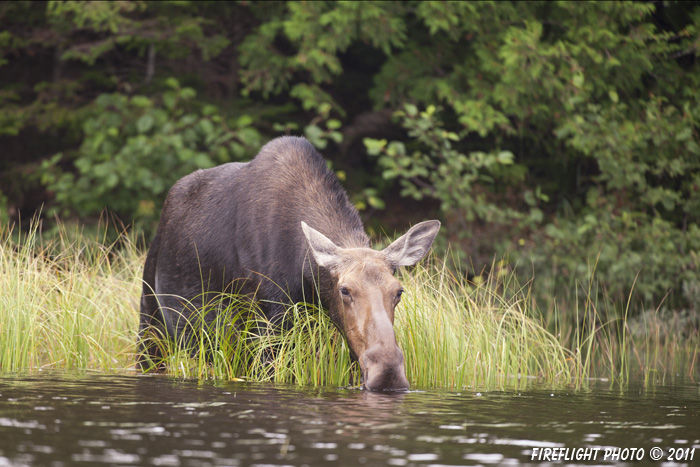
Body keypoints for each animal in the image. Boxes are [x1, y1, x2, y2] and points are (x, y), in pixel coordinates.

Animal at [139, 136, 440, 392]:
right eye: (344, 290)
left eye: (398, 291)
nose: (388, 371)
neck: (305, 275)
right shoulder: (267, 332)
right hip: (150, 321)